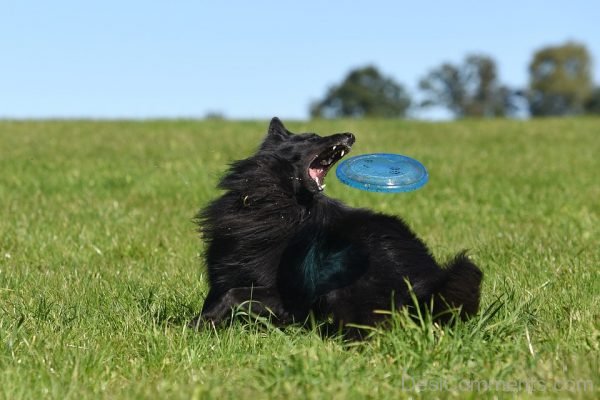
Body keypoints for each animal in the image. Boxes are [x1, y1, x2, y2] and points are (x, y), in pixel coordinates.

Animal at [192, 117, 482, 336]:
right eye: (311, 137)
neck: (281, 203)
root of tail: (430, 281)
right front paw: (198, 325)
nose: (350, 135)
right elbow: (219, 294)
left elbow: (235, 294)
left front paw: (207, 321)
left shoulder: (289, 298)